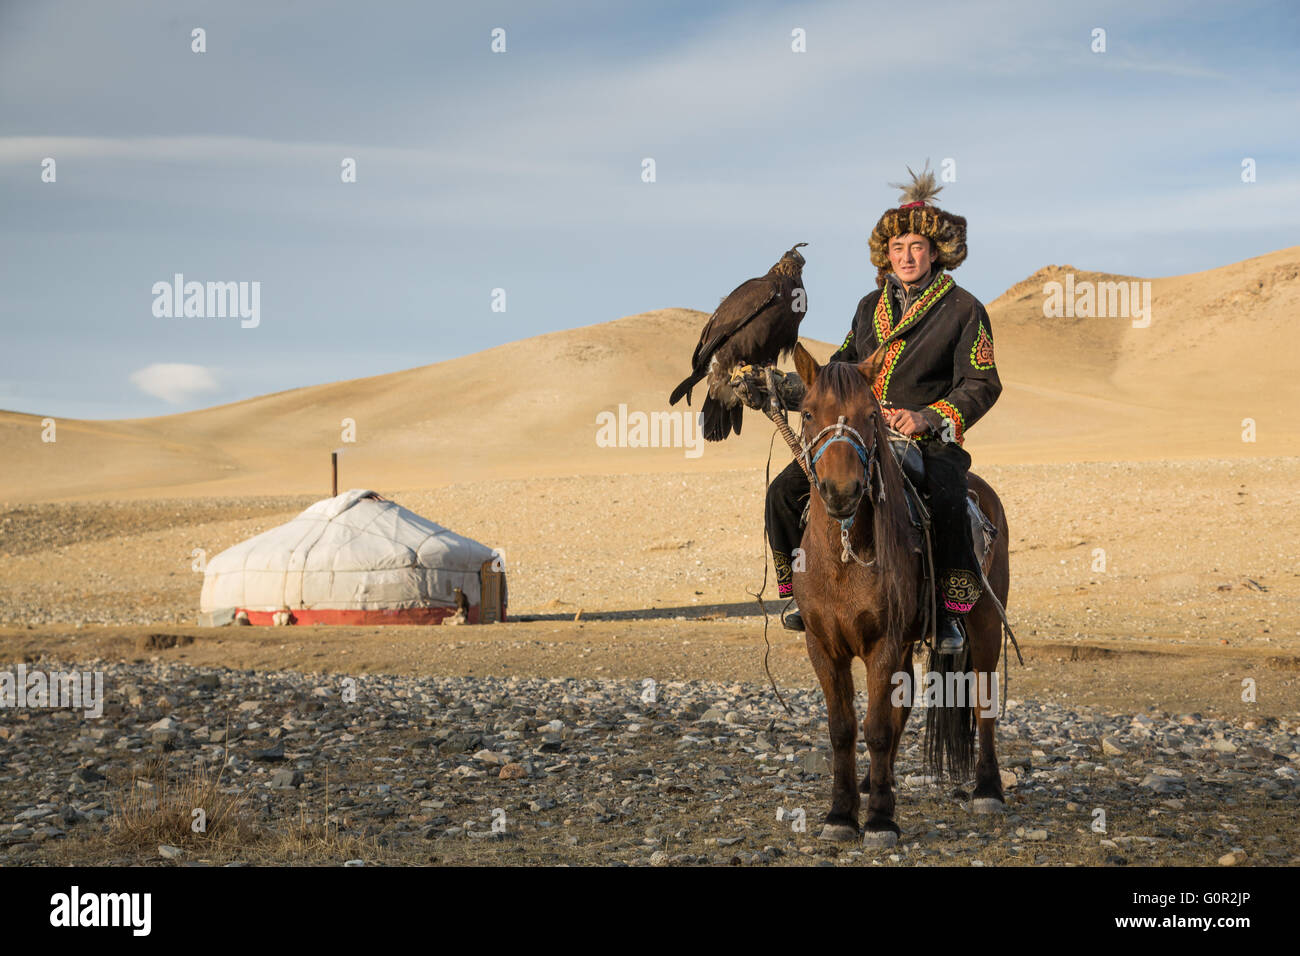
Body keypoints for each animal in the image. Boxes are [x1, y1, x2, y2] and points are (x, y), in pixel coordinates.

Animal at [785, 343, 1008, 842]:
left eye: (871, 415)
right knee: (900, 707)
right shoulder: (822, 646)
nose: (842, 491)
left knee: (982, 701)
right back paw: (873, 780)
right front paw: (841, 814)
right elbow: (844, 729)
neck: (844, 557)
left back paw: (988, 790)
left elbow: (878, 729)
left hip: (985, 622)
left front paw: (881, 820)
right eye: (807, 412)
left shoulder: (881, 643)